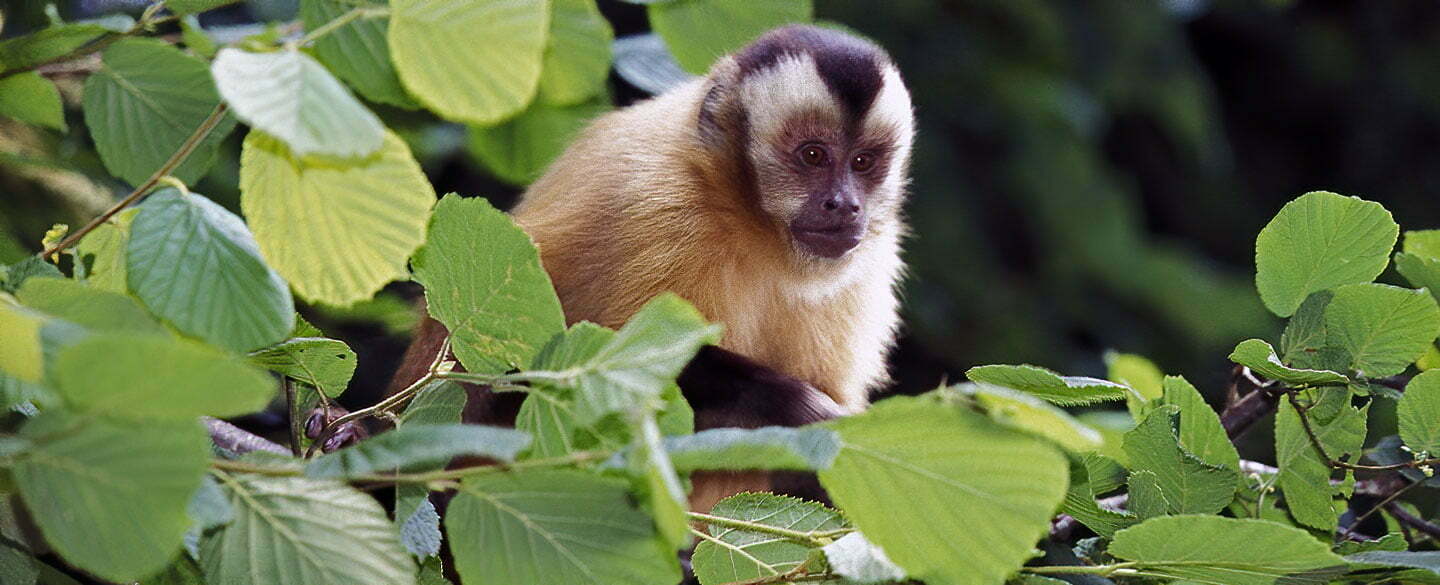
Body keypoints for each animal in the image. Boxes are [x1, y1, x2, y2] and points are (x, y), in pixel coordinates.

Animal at [374, 24, 914, 510]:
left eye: (863, 162)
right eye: (813, 156)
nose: (844, 205)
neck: (748, 220)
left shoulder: (870, 259)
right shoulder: (663, 207)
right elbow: (594, 354)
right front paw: (795, 411)